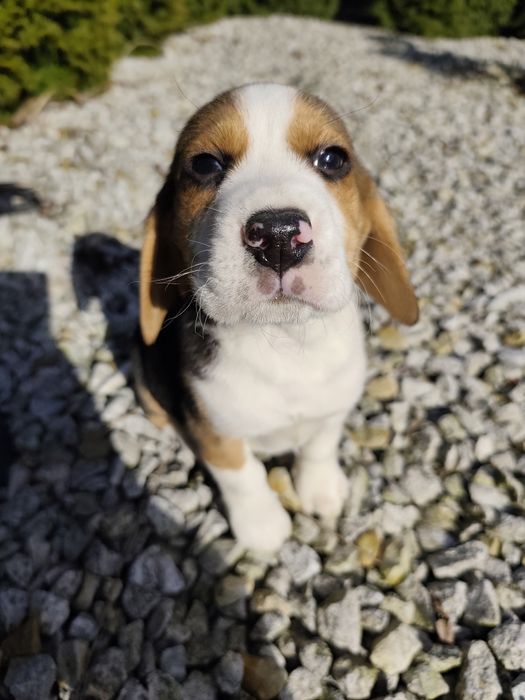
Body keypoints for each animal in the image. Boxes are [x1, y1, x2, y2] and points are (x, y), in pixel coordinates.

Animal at [136, 83, 418, 552]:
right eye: (205, 164)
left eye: (333, 159)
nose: (280, 235)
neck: (285, 342)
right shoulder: (215, 430)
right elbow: (242, 474)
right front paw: (263, 527)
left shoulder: (333, 407)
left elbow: (321, 445)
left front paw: (321, 491)